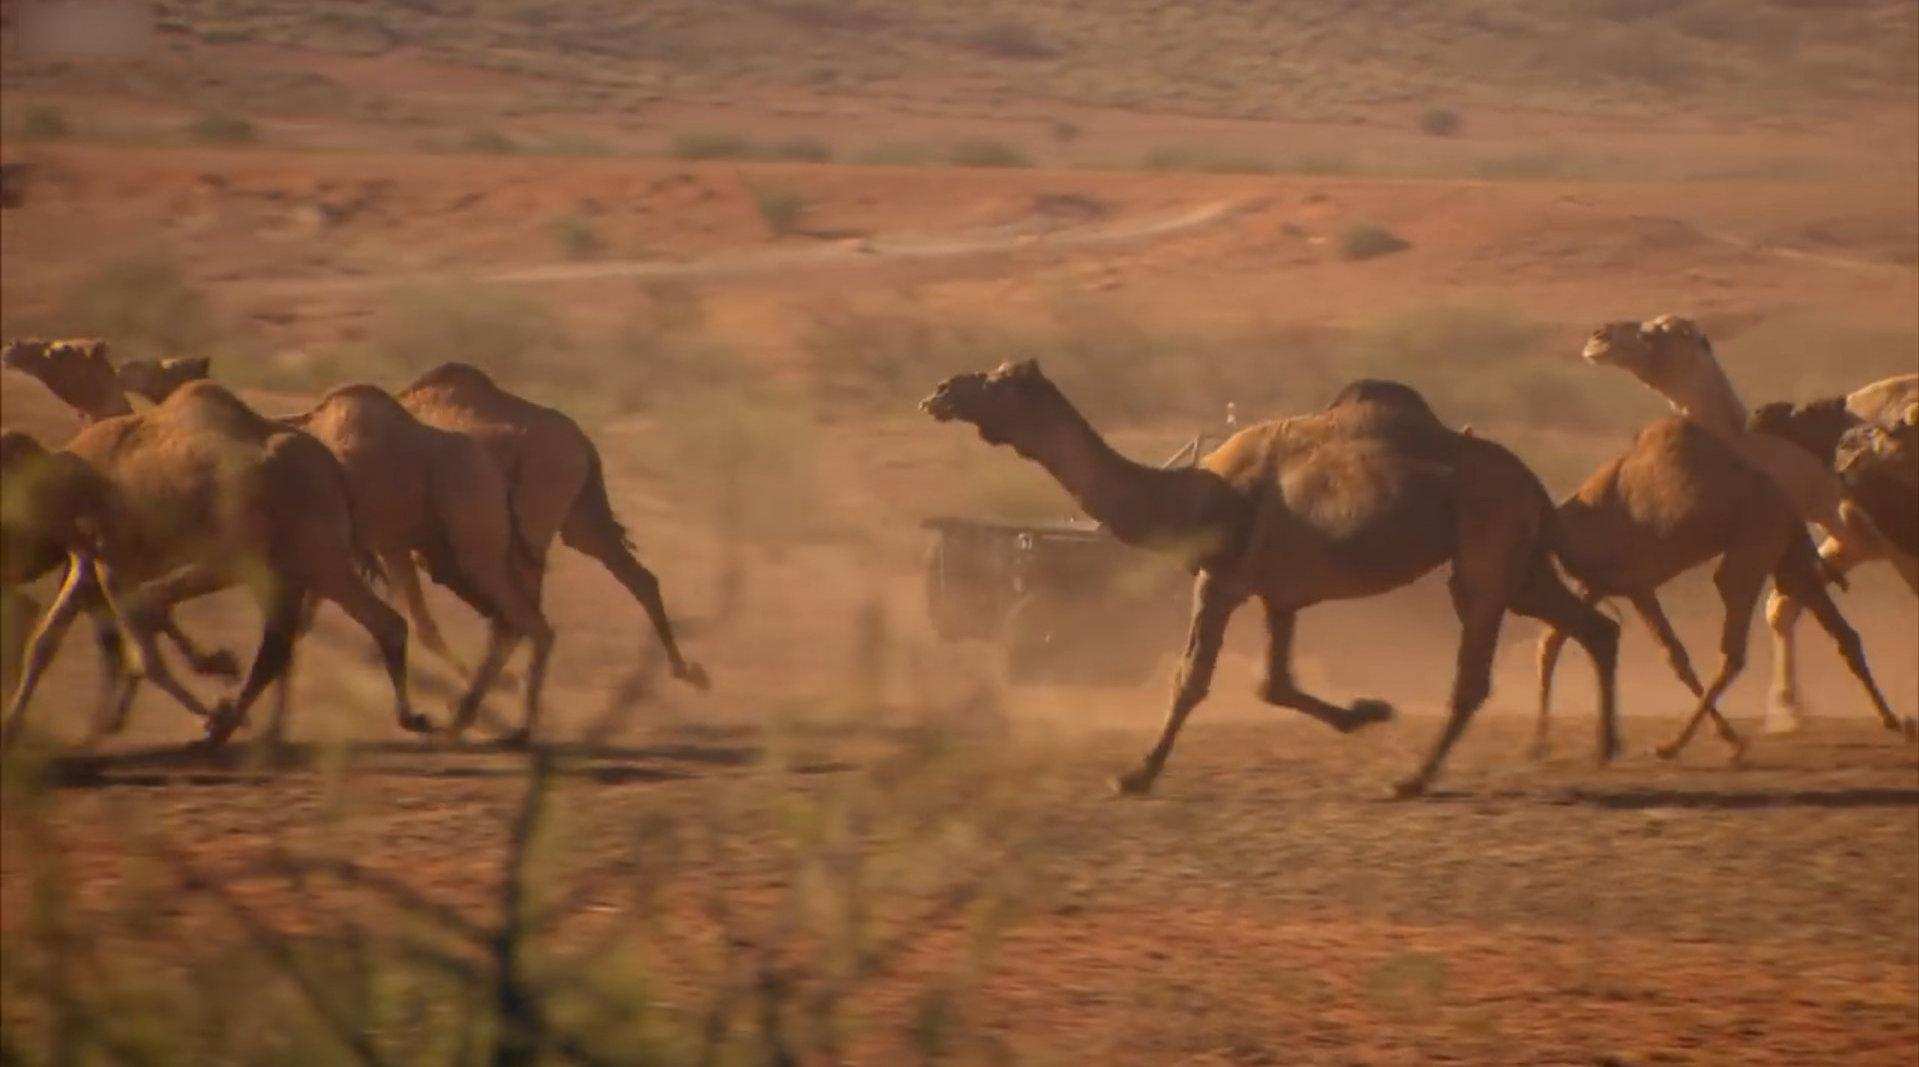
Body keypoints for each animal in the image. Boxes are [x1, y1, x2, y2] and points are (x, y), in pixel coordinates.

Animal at [0, 381, 427, 740]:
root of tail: (332, 469)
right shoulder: (88, 562)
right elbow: (43, 644)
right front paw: (12, 722)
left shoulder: (114, 561)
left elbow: (147, 652)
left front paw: (211, 680)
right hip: (296, 564)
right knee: (325, 633)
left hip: (299, 558)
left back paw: (225, 719)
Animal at [393, 358, 710, 690]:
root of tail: (583, 444)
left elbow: (417, 616)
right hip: (580, 520)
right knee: (638, 578)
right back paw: (687, 671)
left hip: (535, 521)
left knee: (524, 611)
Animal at [921, 362, 1611, 794]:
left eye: (1000, 380)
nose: (941, 391)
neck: (1192, 494)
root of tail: (1538, 485)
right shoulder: (1282, 593)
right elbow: (1273, 684)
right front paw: (1367, 711)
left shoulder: (1219, 579)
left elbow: (1190, 680)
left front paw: (1135, 774)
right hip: (1523, 560)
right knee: (1594, 626)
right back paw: (1603, 748)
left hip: (1487, 546)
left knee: (1475, 670)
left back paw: (1414, 779)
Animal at [1527, 414, 1903, 759]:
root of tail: (1784, 499)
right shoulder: (1599, 584)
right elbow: (1552, 642)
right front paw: (1539, 742)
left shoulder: (1635, 584)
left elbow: (1672, 655)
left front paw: (1726, 737)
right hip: (1786, 552)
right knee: (1841, 631)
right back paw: (1893, 722)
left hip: (1753, 545)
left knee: (1733, 646)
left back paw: (1682, 744)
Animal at [1581, 318, 1911, 733]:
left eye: (1656, 331)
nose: (1598, 338)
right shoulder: (1842, 539)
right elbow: (1784, 605)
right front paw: (1786, 710)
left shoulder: (1886, 536)